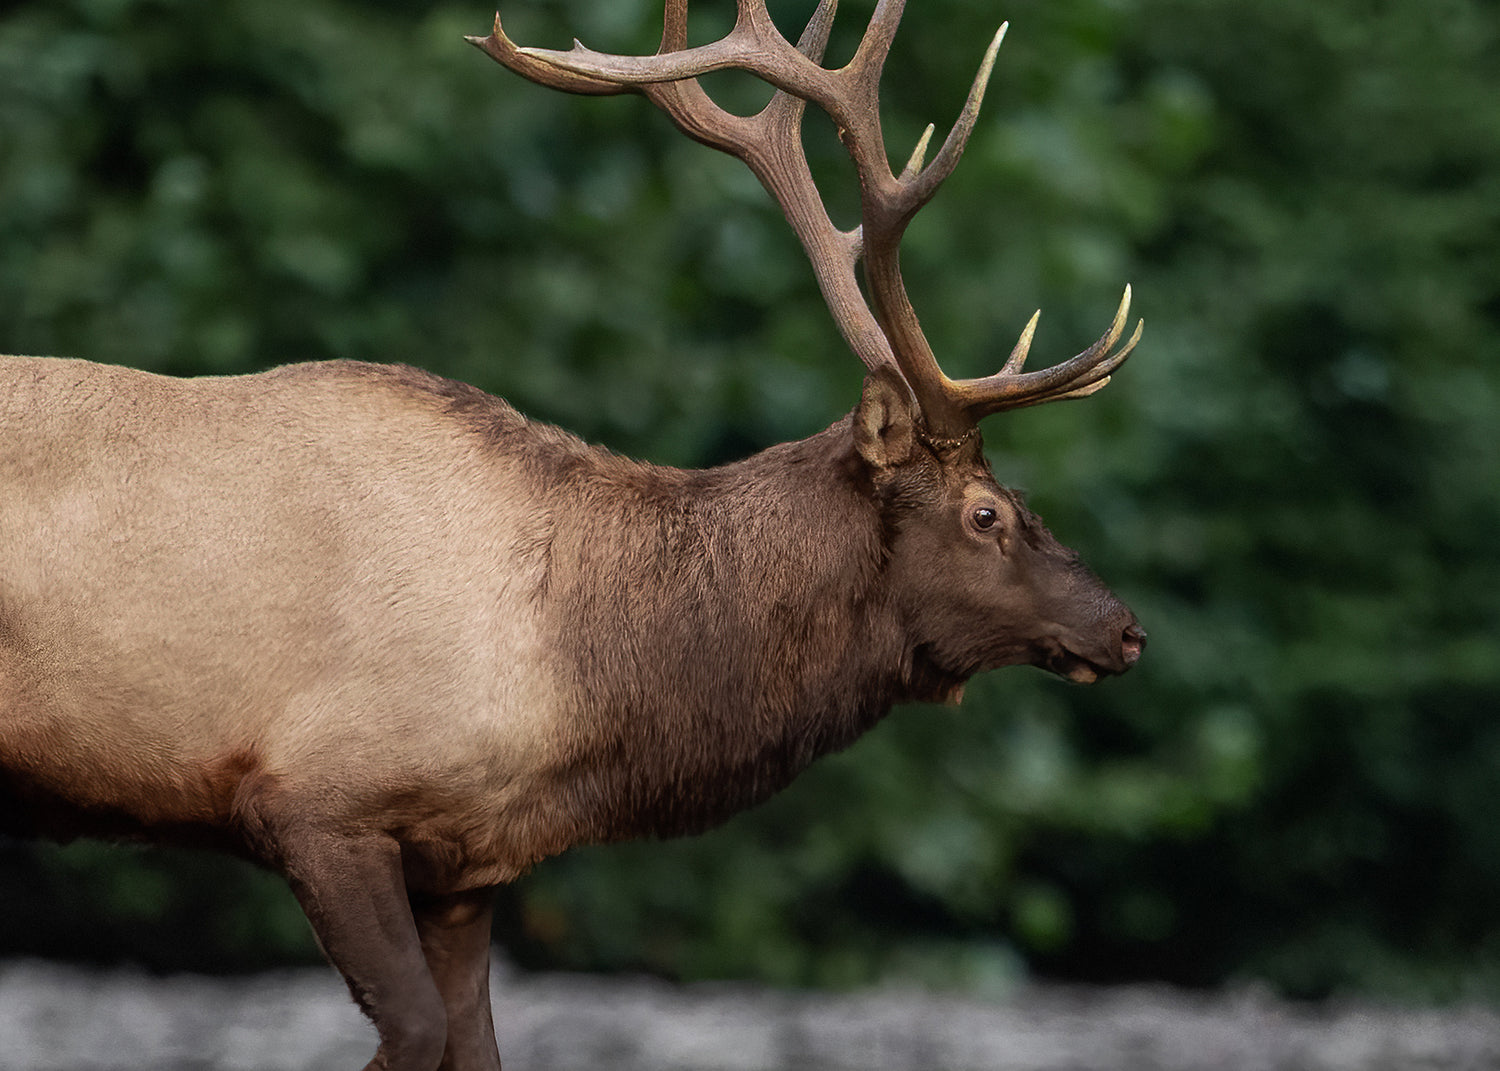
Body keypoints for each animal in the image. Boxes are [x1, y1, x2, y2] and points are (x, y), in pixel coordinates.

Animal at [0, 1, 1145, 1068]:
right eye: (986, 512)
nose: (1125, 628)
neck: (578, 690)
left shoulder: (464, 862)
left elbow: (473, 1044)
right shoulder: (315, 799)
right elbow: (414, 1029)